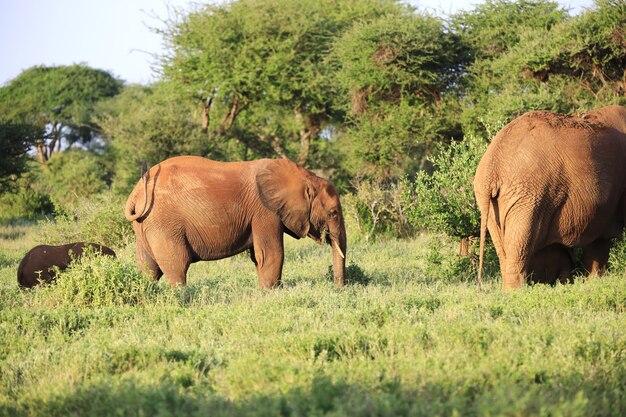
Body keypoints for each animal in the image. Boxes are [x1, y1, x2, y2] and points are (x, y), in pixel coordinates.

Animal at [122, 154, 346, 288]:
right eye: (333, 213)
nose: (339, 287)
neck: (302, 176)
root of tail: (135, 194)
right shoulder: (265, 212)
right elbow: (270, 254)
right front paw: (270, 293)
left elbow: (259, 256)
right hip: (165, 225)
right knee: (176, 266)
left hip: (146, 226)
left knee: (148, 269)